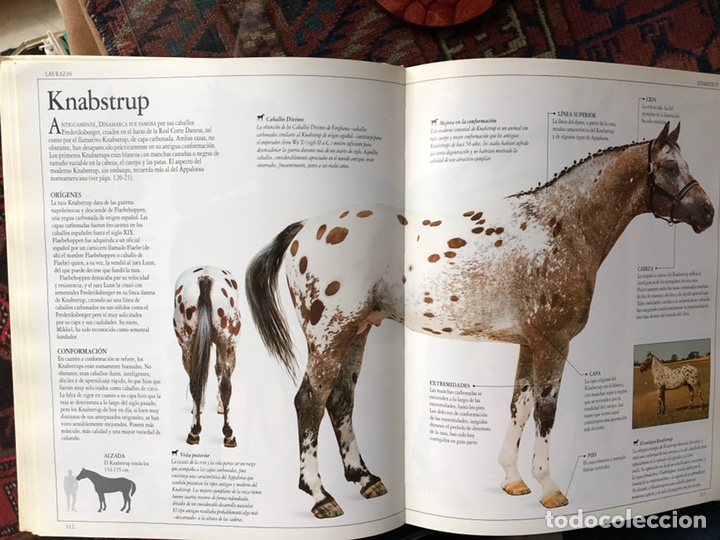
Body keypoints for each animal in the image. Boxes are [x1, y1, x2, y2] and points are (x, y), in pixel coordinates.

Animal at [173, 266, 241, 447]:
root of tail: (205, 278)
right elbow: (218, 371)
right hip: (229, 345)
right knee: (225, 385)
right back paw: (228, 435)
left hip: (187, 346)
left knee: (196, 383)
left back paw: (194, 433)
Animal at [245, 122, 713, 518]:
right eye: (670, 167)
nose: (707, 213)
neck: (562, 227)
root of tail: (307, 227)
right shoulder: (554, 343)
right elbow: (546, 411)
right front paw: (548, 487)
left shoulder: (530, 343)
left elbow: (520, 405)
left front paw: (512, 479)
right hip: (329, 335)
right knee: (309, 401)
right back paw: (319, 495)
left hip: (357, 331)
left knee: (340, 400)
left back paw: (365, 479)